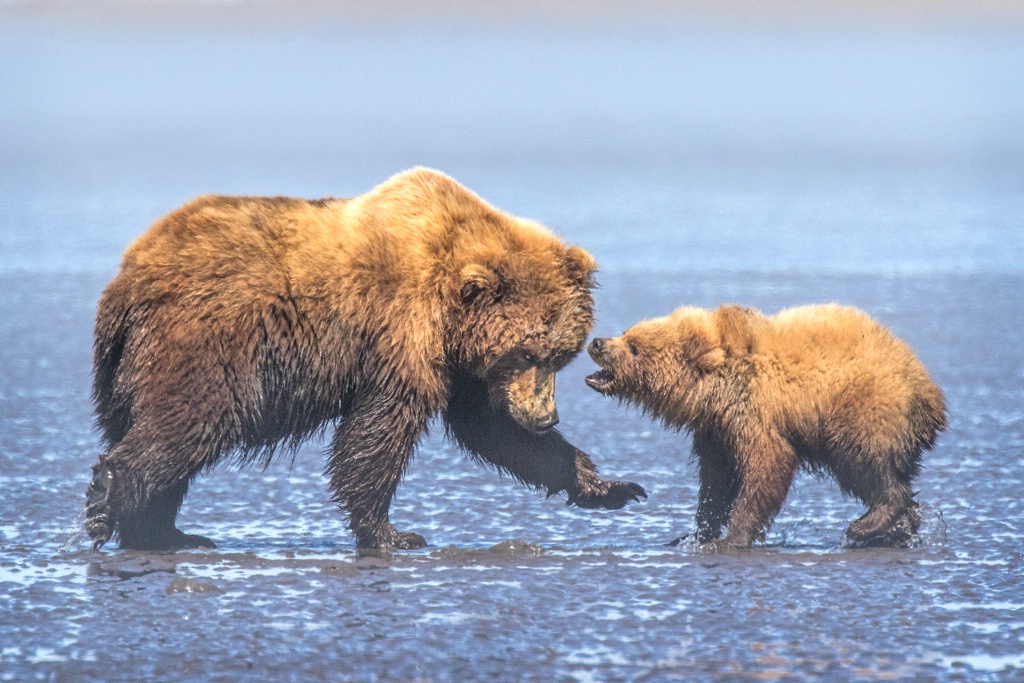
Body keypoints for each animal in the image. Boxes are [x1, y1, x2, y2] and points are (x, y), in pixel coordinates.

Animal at [86, 167, 638, 552]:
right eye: (524, 351)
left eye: (559, 356)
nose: (545, 417)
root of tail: (128, 277)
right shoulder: (401, 329)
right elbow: (379, 432)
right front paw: (392, 533)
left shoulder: (463, 367)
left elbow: (491, 429)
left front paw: (609, 486)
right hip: (207, 342)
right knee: (189, 420)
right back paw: (108, 496)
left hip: (125, 365)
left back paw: (161, 532)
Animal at [589, 305, 946, 548]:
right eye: (627, 332)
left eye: (634, 347)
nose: (597, 343)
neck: (716, 386)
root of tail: (930, 394)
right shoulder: (717, 428)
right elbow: (716, 481)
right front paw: (693, 534)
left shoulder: (756, 412)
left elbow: (766, 467)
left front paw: (731, 537)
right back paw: (896, 531)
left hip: (860, 410)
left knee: (865, 464)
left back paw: (867, 525)